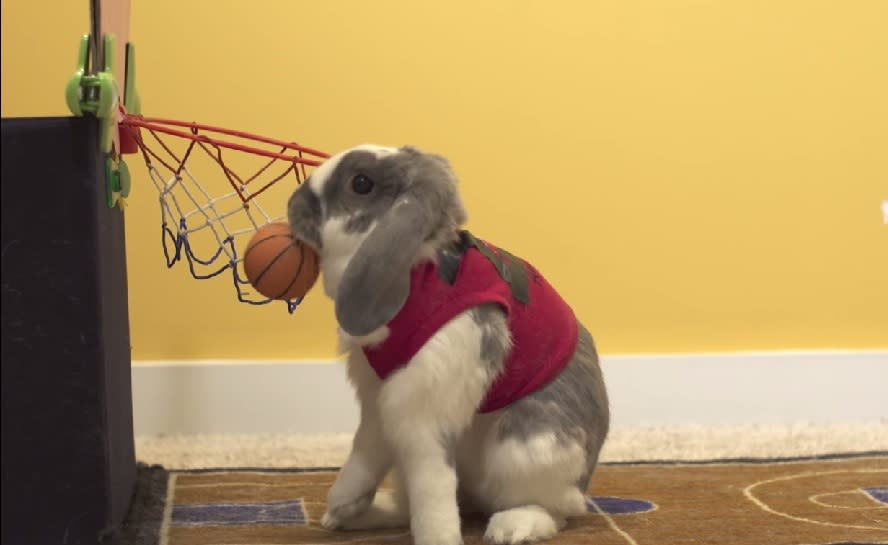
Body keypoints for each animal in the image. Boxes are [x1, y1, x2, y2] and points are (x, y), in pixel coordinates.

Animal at [288, 144, 608, 544]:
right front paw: (341, 502)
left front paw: (438, 537)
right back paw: (353, 517)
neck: (417, 273)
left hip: (528, 450)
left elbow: (432, 483)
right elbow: (365, 449)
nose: (294, 205)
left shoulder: (425, 410)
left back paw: (512, 527)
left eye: (360, 184)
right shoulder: (381, 398)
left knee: (553, 510)